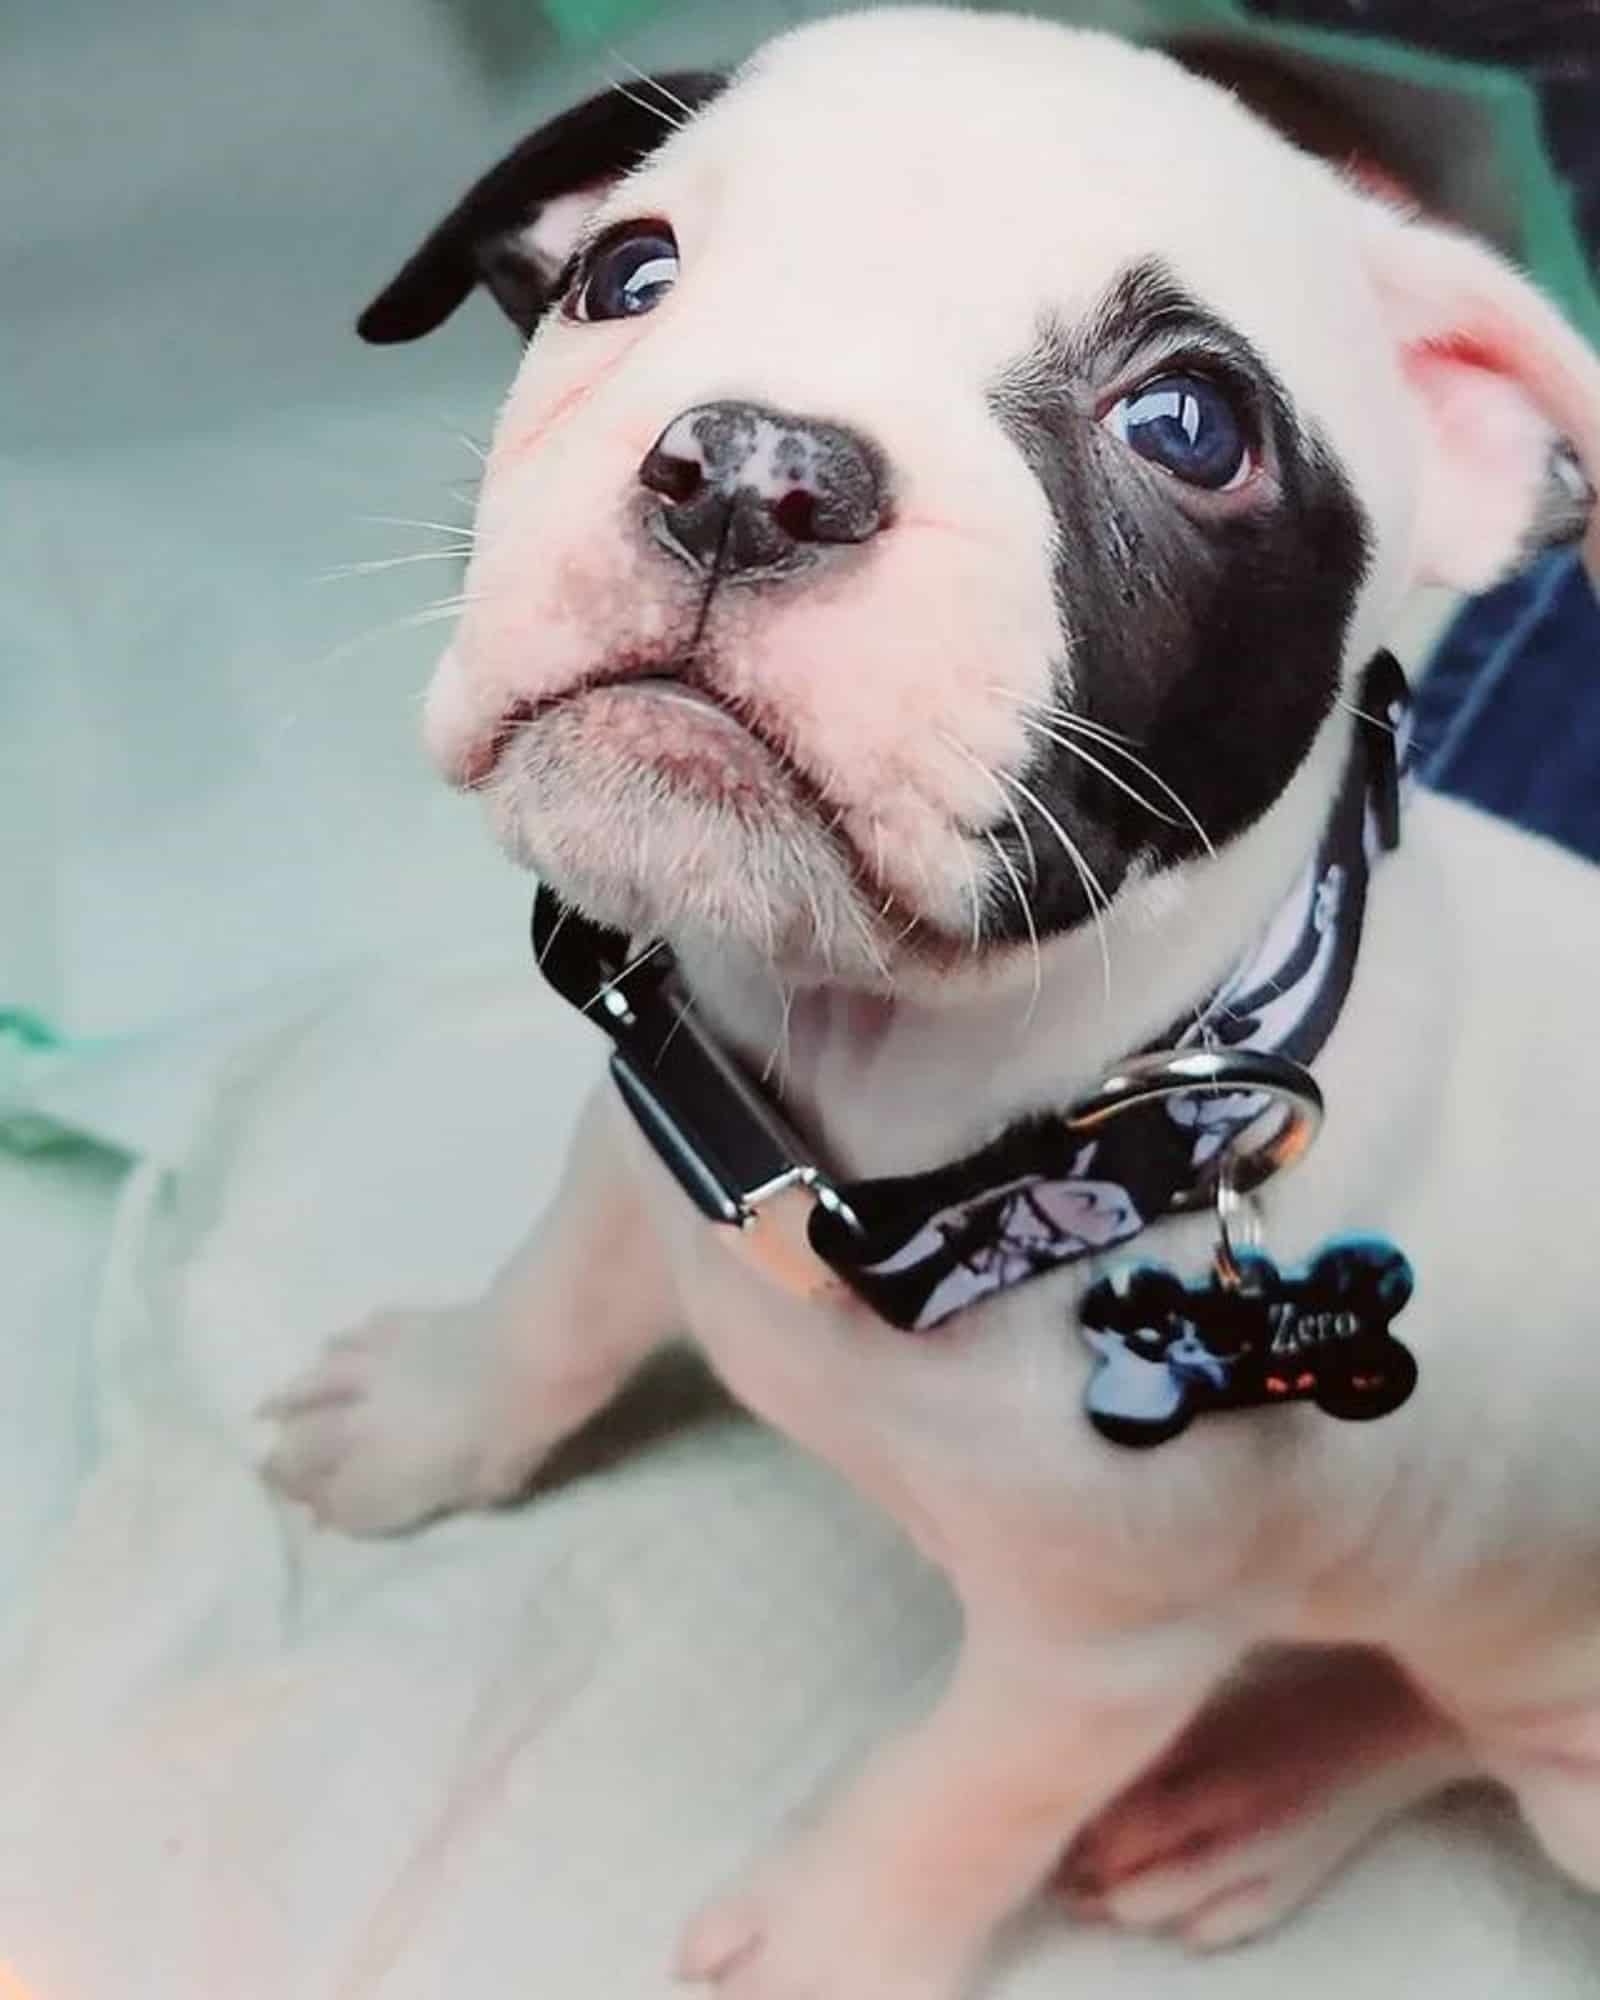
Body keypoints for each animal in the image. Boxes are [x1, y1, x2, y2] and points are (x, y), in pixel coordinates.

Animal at [256, 7, 1600, 1992]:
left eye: (1189, 426)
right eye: (624, 274)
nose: (755, 467)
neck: (891, 1136)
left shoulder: (1087, 1661)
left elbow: (944, 1814)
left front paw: (827, 1943)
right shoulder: (654, 1147)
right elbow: (552, 1308)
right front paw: (430, 1414)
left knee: (1454, 1721)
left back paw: (1260, 1796)